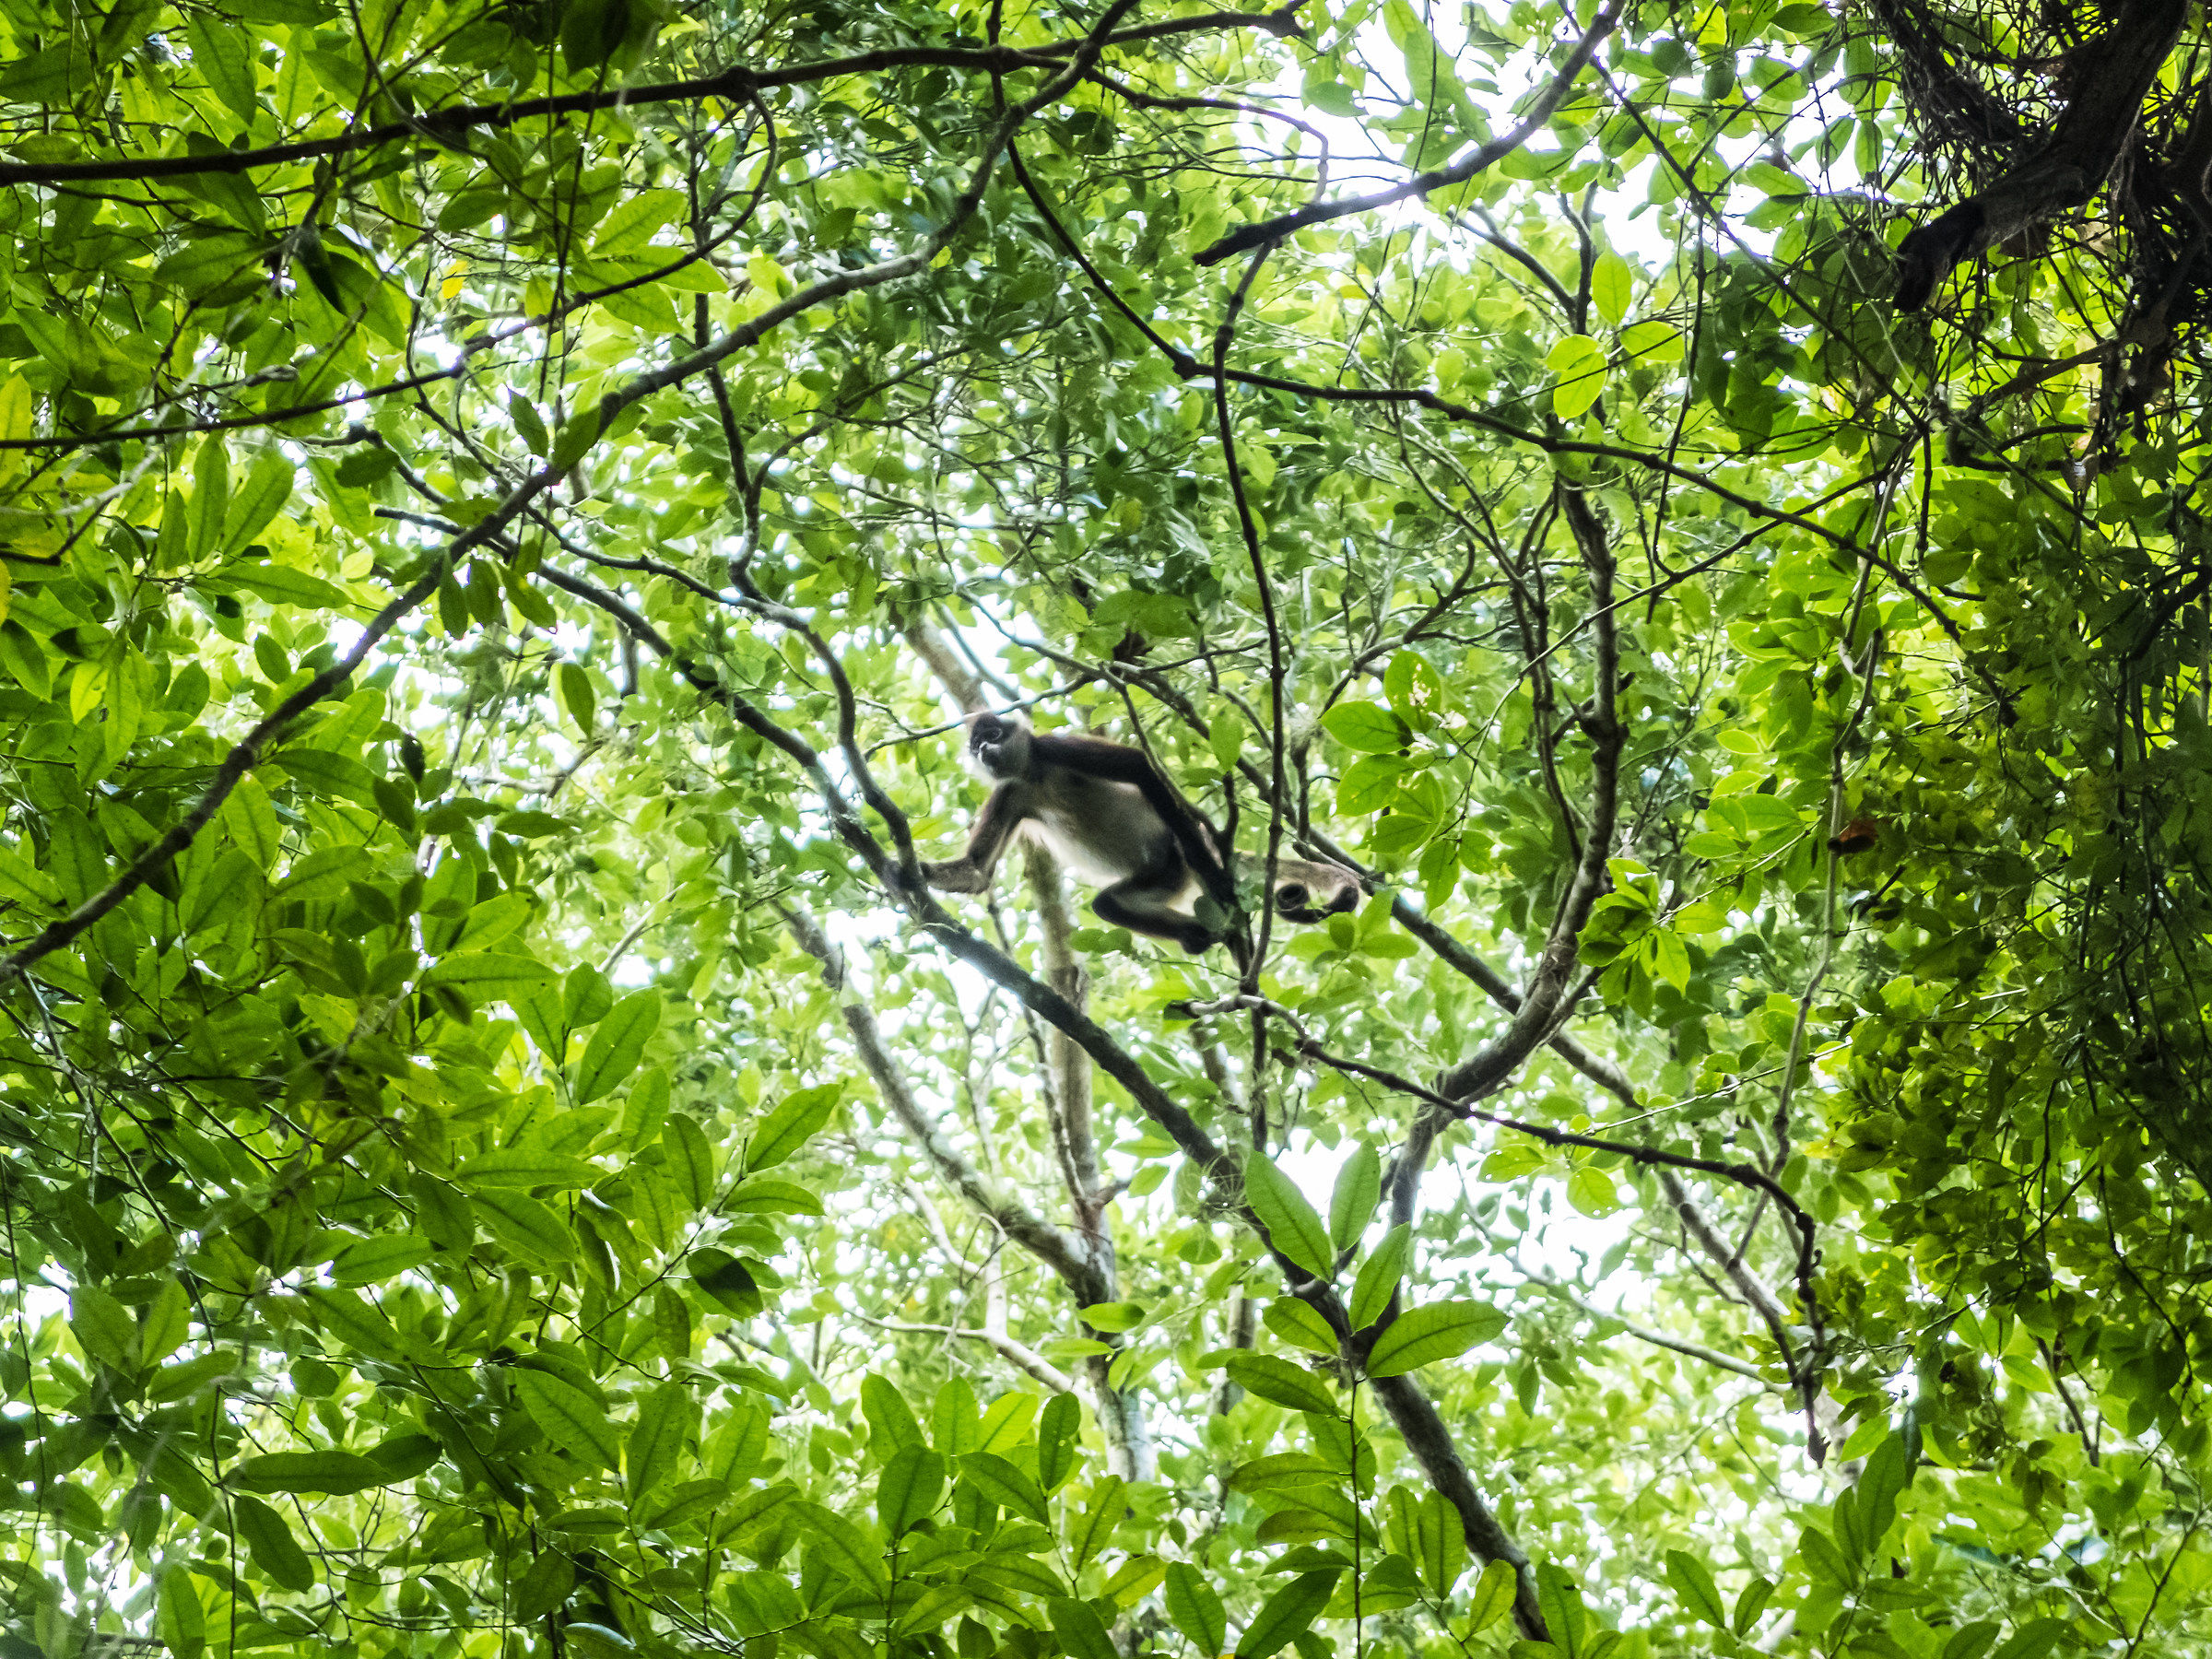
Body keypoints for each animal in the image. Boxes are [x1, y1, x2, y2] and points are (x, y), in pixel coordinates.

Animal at [920, 712, 1361, 956]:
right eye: (976, 746)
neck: (1036, 775)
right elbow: (976, 872)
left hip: (1172, 859)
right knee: (1107, 905)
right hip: (1164, 877)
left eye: (992, 737)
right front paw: (909, 871)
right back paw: (1197, 935)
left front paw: (1208, 864)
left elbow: (1139, 766)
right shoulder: (1011, 792)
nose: (983, 752)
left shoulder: (1050, 749)